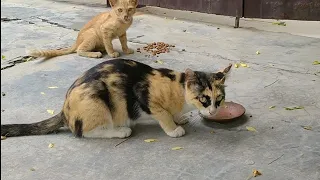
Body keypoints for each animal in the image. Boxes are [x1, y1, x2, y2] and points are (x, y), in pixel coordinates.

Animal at [0, 58, 230, 139]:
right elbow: (162, 114)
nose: (213, 111)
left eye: (219, 99)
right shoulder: (144, 94)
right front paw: (174, 128)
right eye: (204, 99)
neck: (178, 90)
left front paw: (179, 118)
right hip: (96, 100)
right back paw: (121, 131)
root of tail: (64, 109)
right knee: (85, 132)